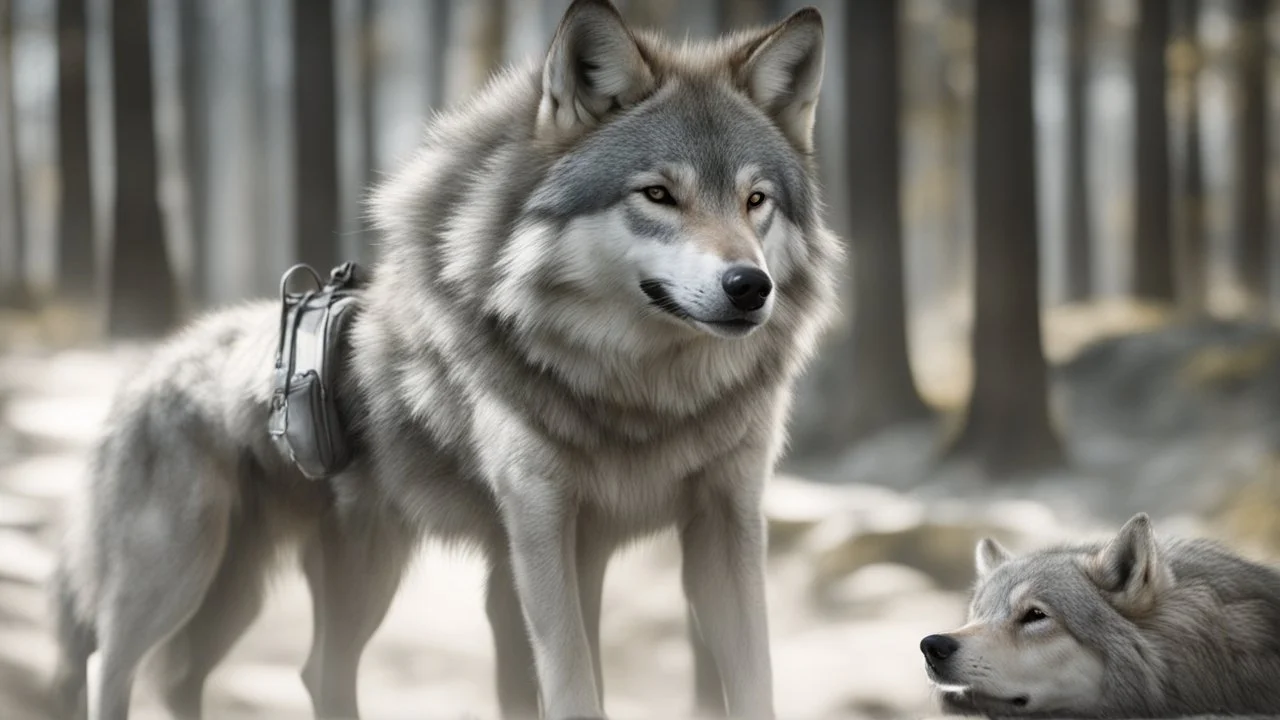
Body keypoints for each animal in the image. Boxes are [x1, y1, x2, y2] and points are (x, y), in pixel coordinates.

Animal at [49, 2, 841, 719]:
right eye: (658, 194)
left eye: (755, 200)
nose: (750, 286)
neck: (645, 398)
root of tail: (145, 371)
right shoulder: (540, 527)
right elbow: (572, 686)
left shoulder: (722, 522)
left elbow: (752, 683)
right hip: (181, 577)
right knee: (109, 669)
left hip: (309, 581)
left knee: (286, 673)